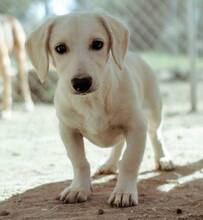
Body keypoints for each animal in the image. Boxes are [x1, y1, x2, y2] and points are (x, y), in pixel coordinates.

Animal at [25, 12, 174, 207]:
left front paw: (124, 191)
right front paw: (78, 188)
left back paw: (163, 159)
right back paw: (109, 164)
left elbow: (129, 161)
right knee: (119, 144)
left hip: (154, 112)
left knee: (156, 136)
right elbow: (79, 161)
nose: (81, 83)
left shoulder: (136, 127)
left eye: (97, 44)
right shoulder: (68, 130)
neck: (91, 101)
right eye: (60, 48)